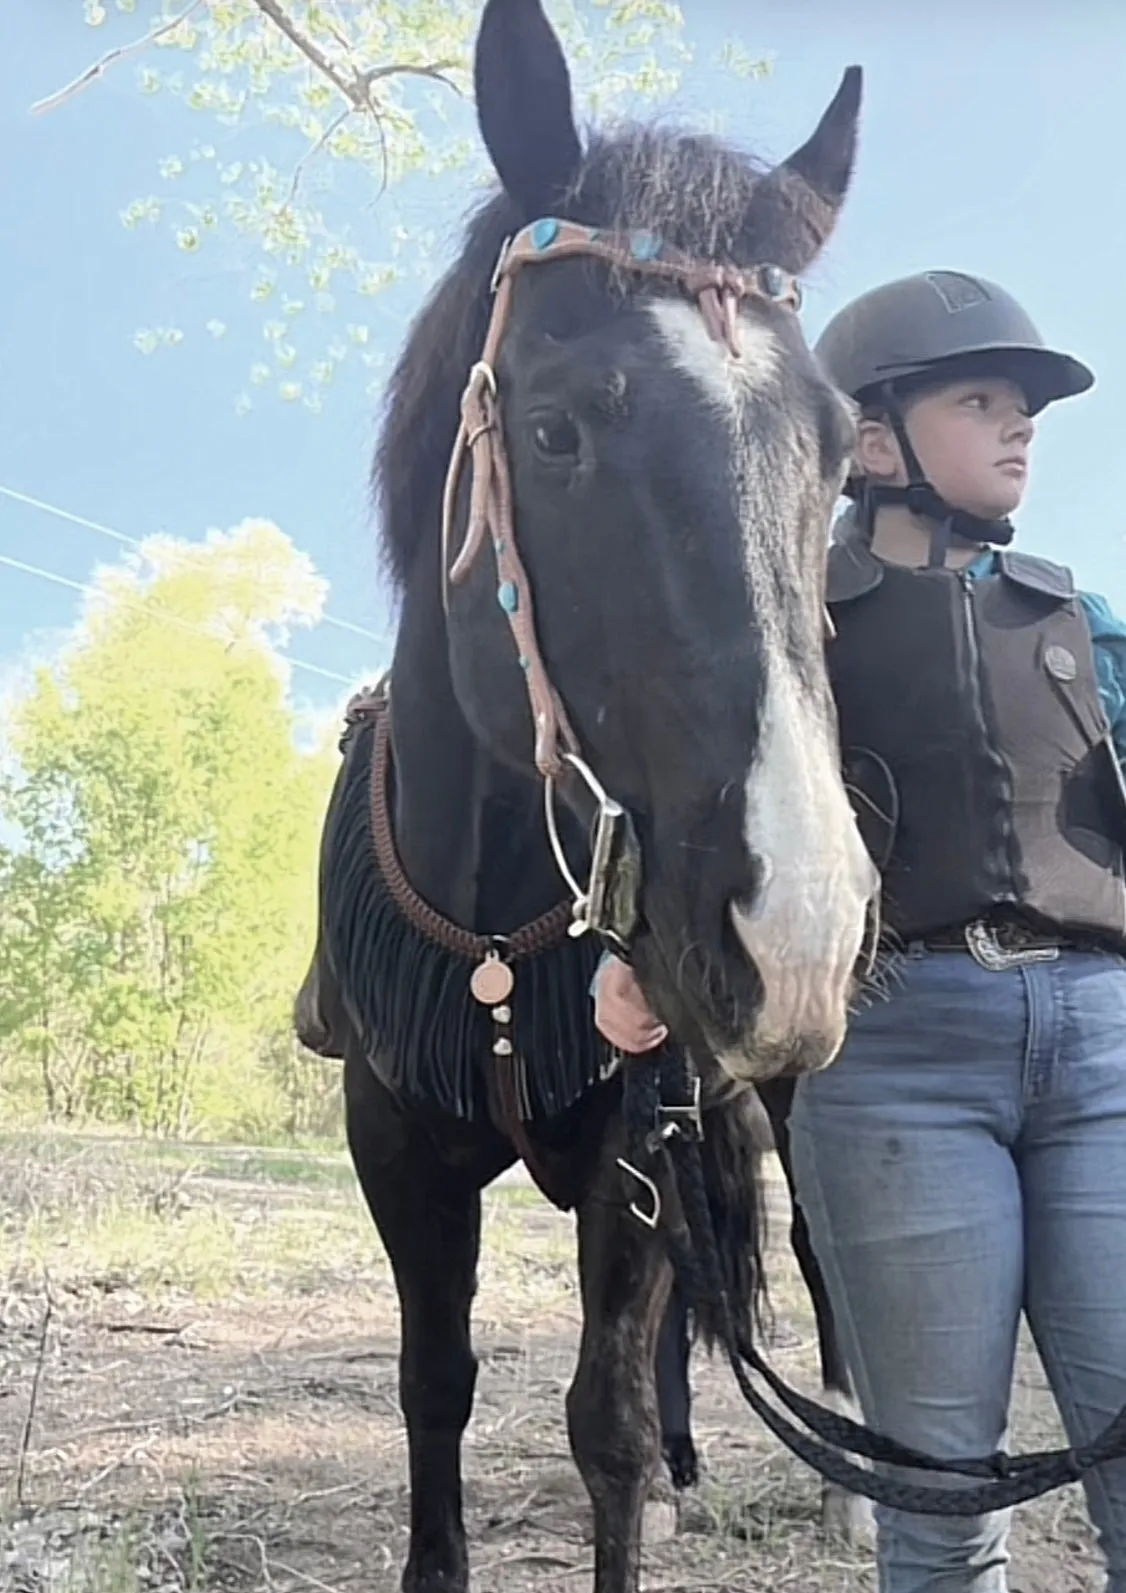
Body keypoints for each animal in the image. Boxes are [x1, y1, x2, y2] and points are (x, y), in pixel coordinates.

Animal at [294, 3, 879, 1593]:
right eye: (552, 431)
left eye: (838, 453)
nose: (796, 927)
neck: (498, 923)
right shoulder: (394, 1141)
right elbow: (436, 1383)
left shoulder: (637, 1126)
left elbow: (601, 1415)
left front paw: (645, 1480)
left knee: (816, 1269)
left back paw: (849, 1491)